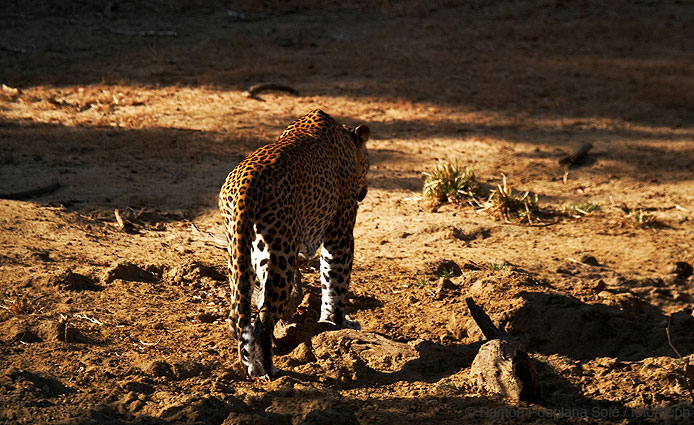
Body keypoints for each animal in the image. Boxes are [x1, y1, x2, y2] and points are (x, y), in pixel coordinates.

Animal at [220, 107, 372, 380]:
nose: (364, 190)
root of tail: (245, 183)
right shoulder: (341, 231)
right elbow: (335, 280)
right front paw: (337, 321)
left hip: (241, 249)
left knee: (240, 310)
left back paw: (249, 361)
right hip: (279, 254)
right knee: (264, 319)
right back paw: (267, 369)